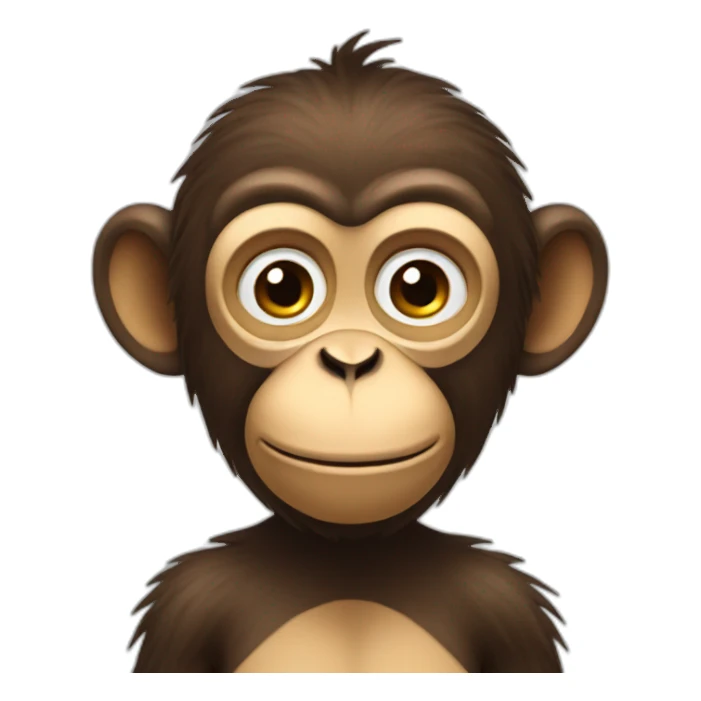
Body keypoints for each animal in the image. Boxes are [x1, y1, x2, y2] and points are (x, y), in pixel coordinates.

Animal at [92, 32, 608, 672]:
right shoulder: (188, 605)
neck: (349, 563)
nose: (351, 361)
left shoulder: (506, 606)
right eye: (281, 287)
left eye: (419, 288)